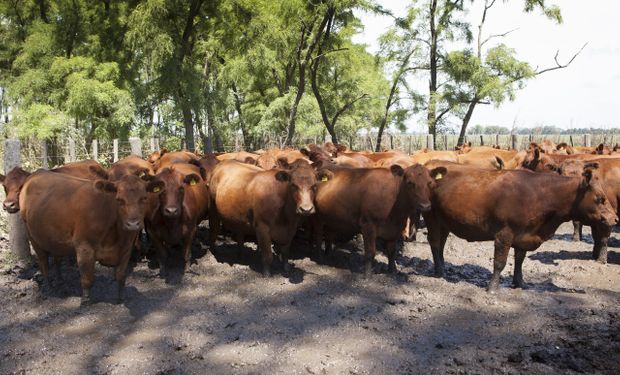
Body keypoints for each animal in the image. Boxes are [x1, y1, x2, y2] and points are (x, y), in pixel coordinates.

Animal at [20, 173, 162, 306]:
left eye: (144, 198)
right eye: (119, 199)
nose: (133, 224)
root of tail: (35, 174)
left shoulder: (126, 247)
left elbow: (121, 276)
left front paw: (121, 297)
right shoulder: (84, 247)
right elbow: (88, 277)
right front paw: (86, 300)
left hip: (55, 240)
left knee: (57, 259)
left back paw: (60, 280)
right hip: (32, 236)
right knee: (43, 262)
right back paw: (49, 287)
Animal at [422, 163, 616, 292]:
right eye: (600, 198)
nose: (615, 218)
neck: (540, 194)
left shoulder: (524, 236)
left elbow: (519, 260)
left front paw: (519, 283)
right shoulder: (504, 234)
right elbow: (499, 263)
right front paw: (492, 288)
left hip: (444, 222)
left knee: (441, 243)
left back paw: (443, 267)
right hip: (431, 217)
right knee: (435, 242)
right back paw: (439, 271)